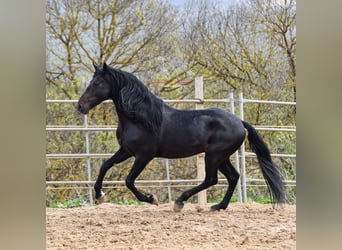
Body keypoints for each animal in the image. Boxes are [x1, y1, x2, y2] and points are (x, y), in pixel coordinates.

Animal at [78, 63, 286, 211]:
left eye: (97, 83)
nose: (80, 106)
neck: (140, 118)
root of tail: (240, 122)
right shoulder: (126, 151)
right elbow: (105, 166)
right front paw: (100, 196)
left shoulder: (144, 156)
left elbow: (129, 181)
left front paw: (151, 199)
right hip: (222, 157)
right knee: (233, 177)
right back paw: (219, 206)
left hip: (214, 156)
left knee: (211, 180)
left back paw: (180, 202)